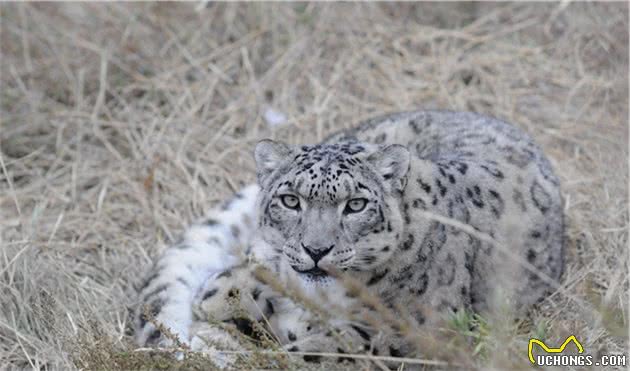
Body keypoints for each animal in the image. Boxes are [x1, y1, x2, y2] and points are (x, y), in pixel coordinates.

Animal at [135, 109, 568, 366]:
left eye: (356, 204)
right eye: (290, 200)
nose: (316, 249)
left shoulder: (408, 332)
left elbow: (325, 350)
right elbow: (232, 286)